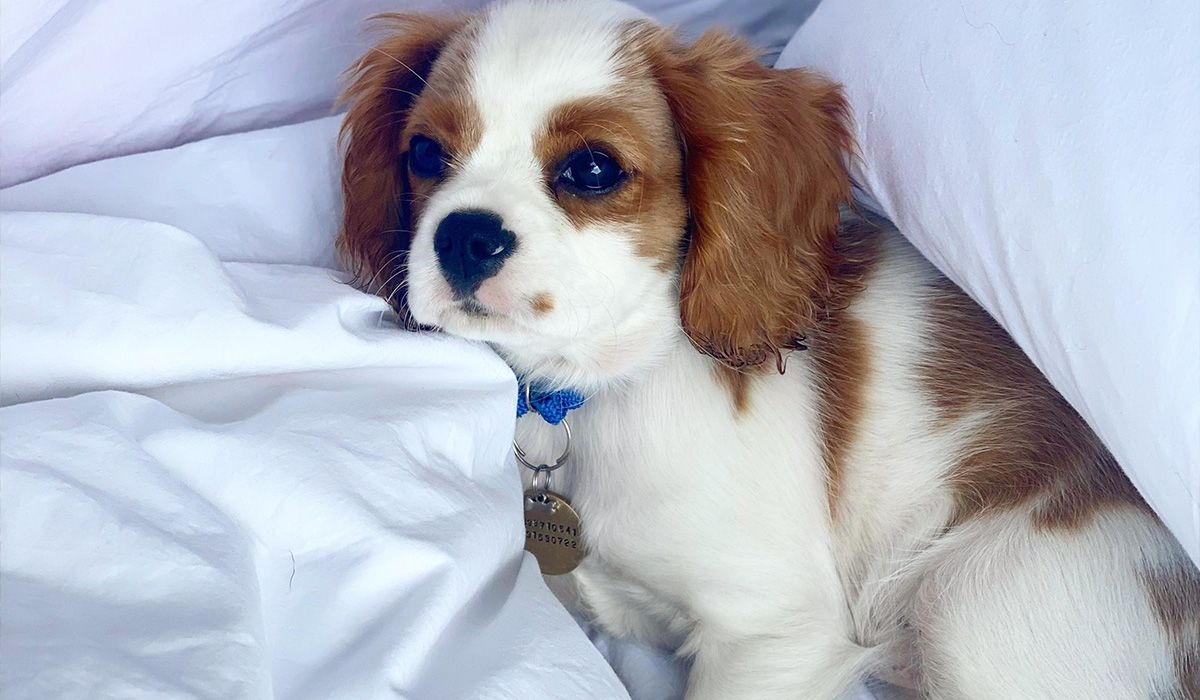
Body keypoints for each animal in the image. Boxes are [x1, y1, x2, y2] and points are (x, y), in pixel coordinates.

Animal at [336, 2, 1200, 696]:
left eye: (591, 168)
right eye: (425, 154)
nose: (463, 235)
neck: (589, 391)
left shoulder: (774, 634)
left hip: (984, 602)